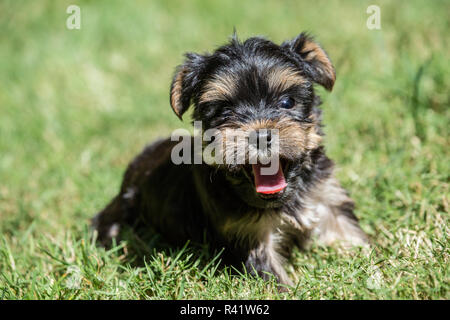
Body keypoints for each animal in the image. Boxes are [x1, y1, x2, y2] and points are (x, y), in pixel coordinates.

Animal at [92, 32, 370, 286]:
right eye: (225, 111)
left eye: (287, 101)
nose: (261, 136)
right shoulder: (248, 235)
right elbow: (271, 279)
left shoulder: (327, 199)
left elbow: (350, 236)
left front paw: (369, 267)